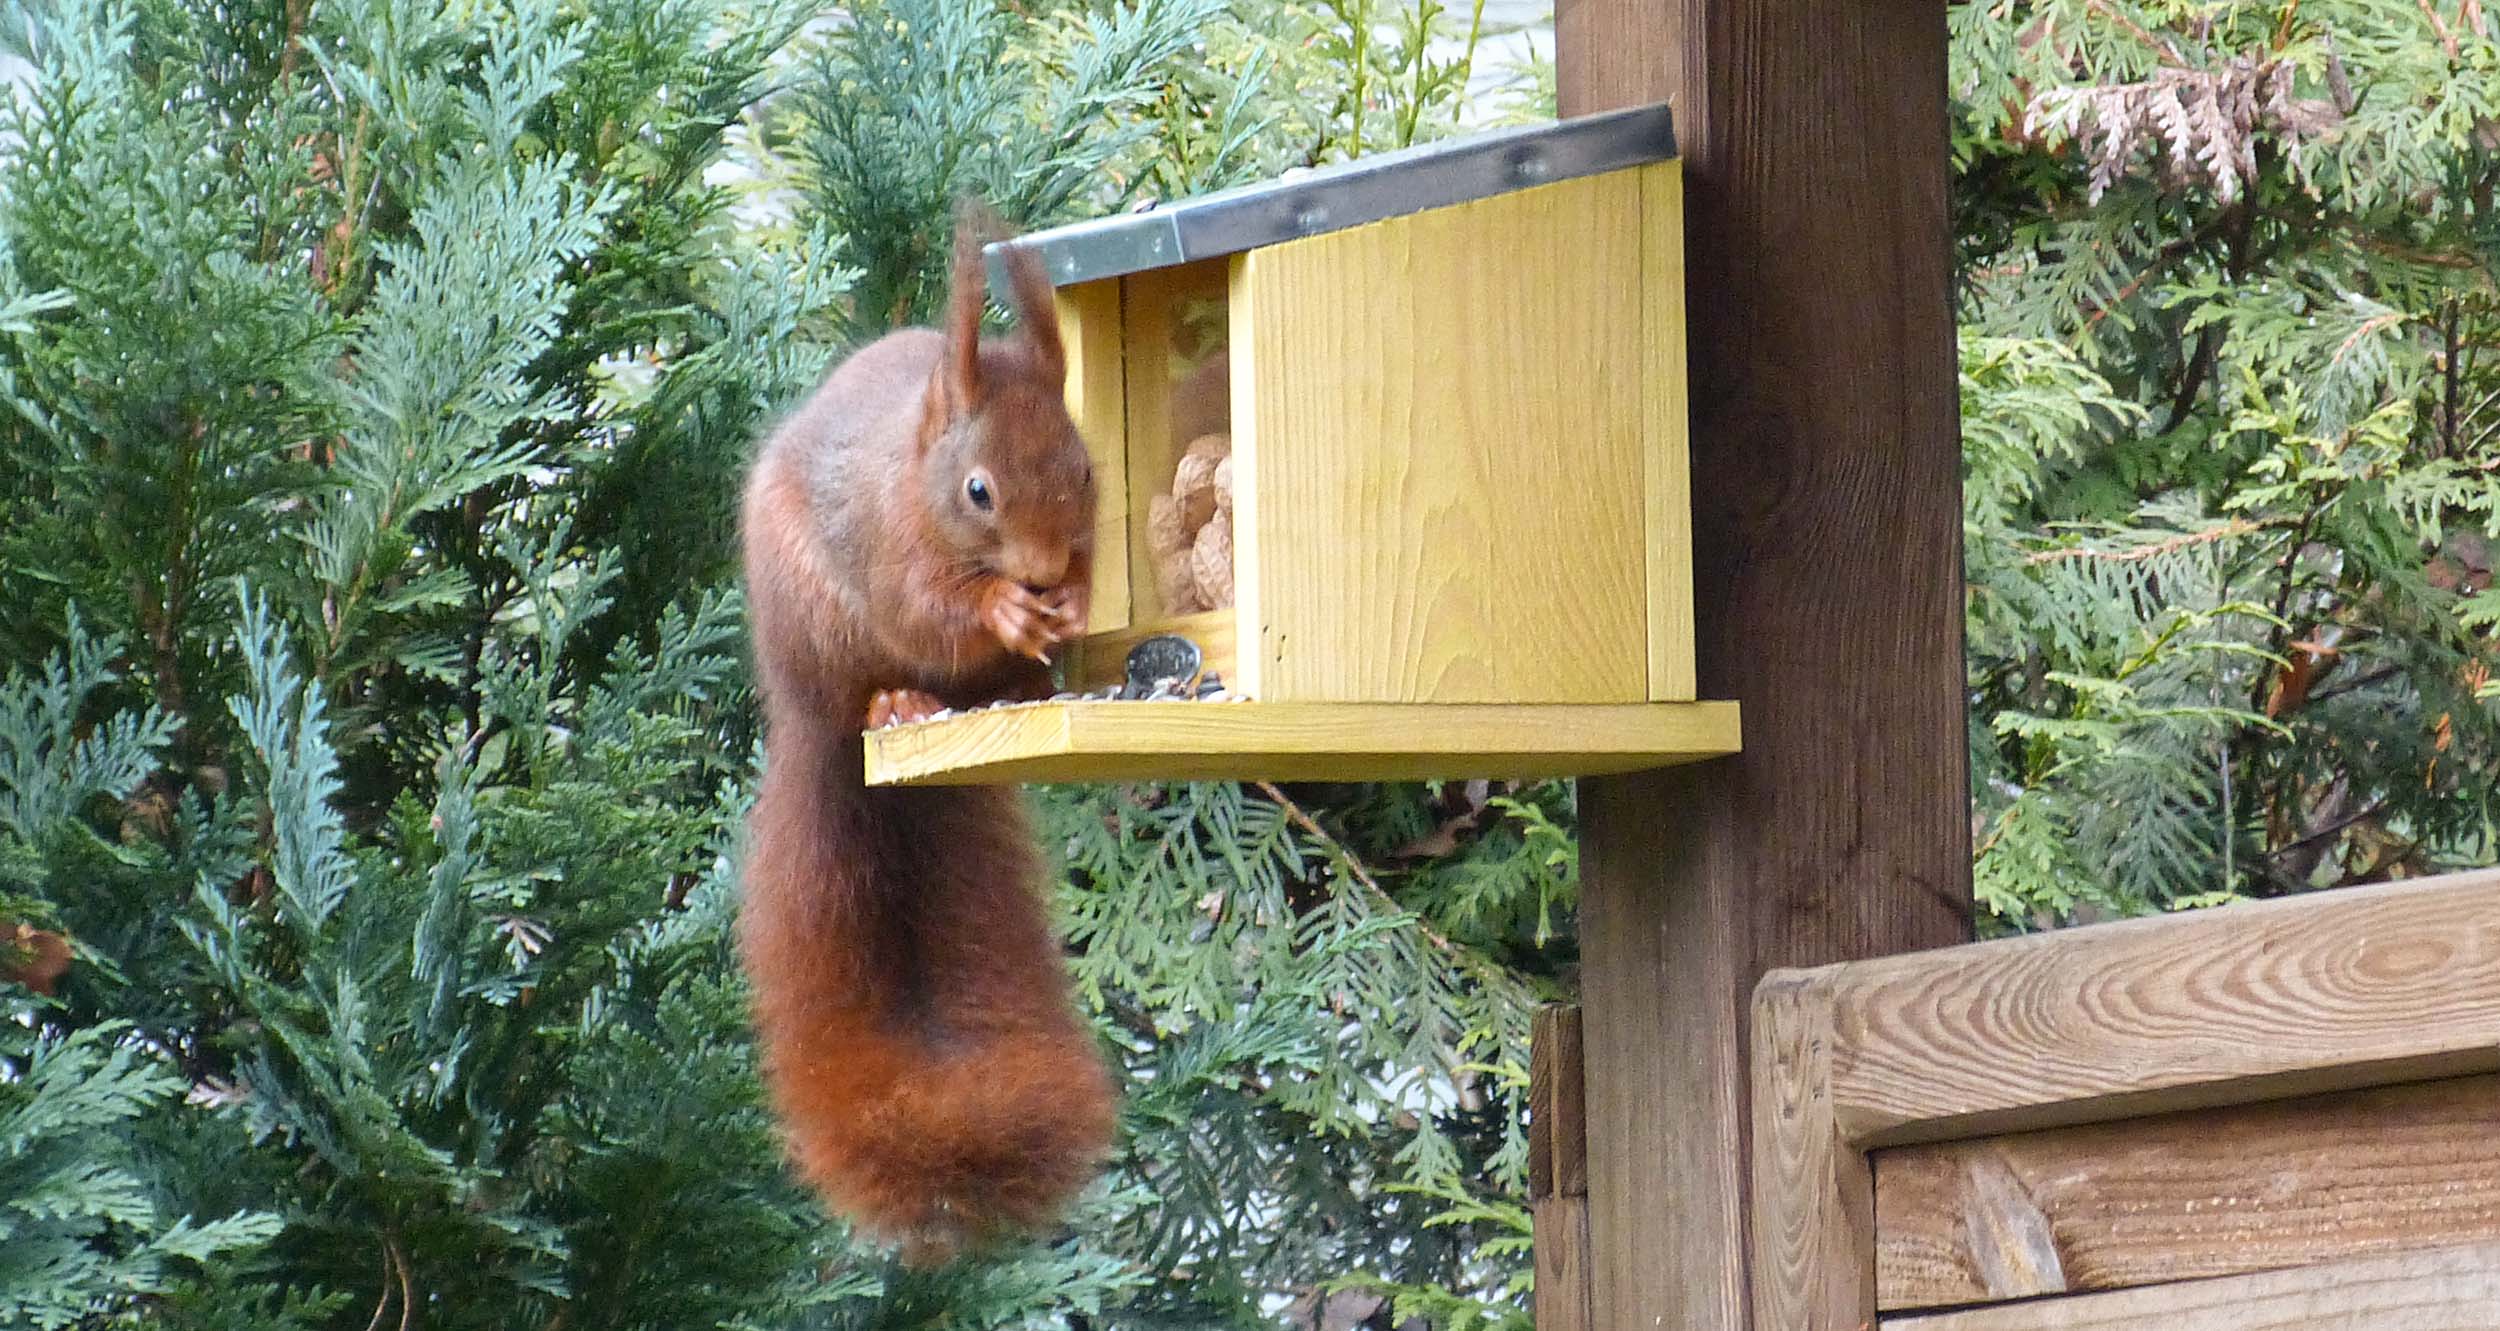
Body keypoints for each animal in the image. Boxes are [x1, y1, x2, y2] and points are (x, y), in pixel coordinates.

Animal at [735, 207, 1113, 1265]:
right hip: (819, 636)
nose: (1042, 569)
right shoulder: (889, 546)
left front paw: (1069, 601)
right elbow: (930, 608)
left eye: (1084, 469)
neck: (917, 473)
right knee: (867, 687)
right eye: (978, 490)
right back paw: (894, 705)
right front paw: (1004, 610)